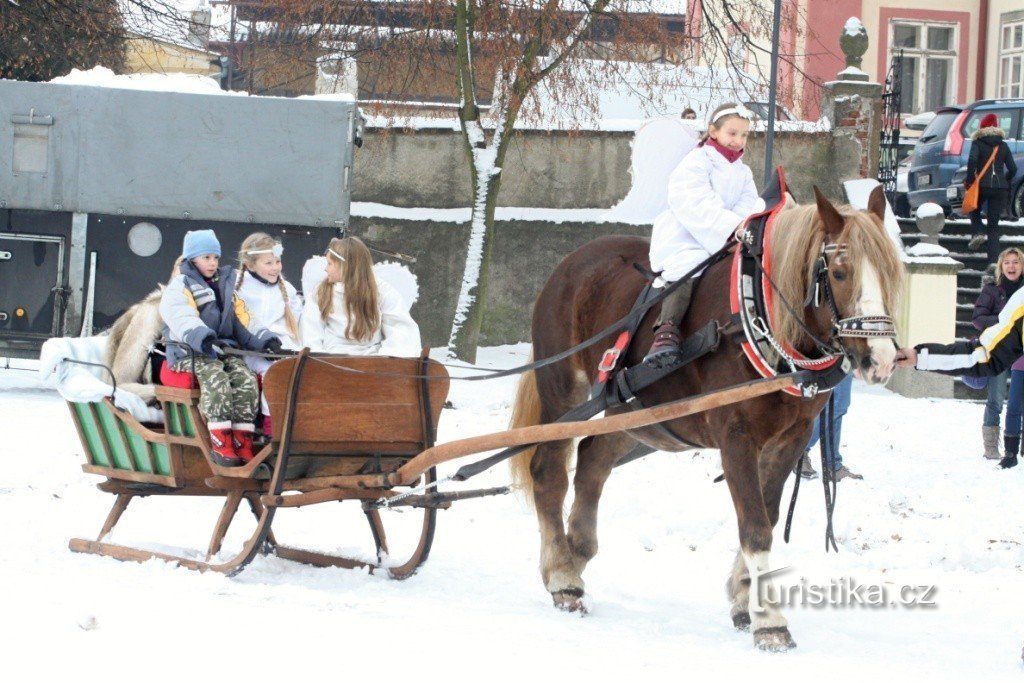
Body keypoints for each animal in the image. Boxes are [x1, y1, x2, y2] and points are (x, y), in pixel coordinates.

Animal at [507, 187, 901, 651]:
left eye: (890, 274)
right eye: (839, 273)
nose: (881, 360)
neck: (760, 319)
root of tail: (571, 263)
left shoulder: (791, 439)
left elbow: (767, 515)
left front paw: (744, 598)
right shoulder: (736, 438)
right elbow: (755, 527)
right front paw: (770, 621)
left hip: (637, 415)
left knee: (592, 460)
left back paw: (577, 552)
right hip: (562, 388)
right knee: (550, 470)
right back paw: (562, 574)